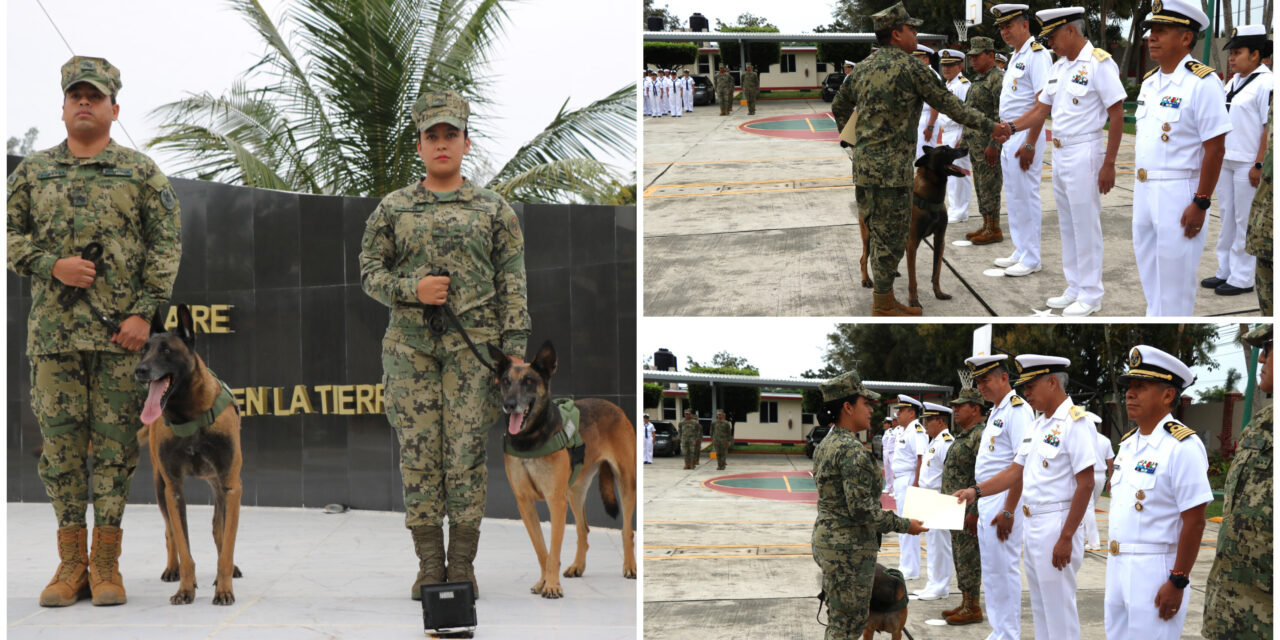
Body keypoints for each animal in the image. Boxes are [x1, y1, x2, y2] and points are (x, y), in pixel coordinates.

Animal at [134, 304, 241, 604]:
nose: (140, 370)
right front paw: (185, 588)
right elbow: (184, 545)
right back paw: (173, 568)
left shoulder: (230, 486)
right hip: (161, 488)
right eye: (143, 349)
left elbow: (226, 544)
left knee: (218, 529)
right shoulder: (174, 490)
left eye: (167, 350)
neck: (189, 415)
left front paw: (224, 587)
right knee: (170, 531)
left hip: (220, 488)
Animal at [483, 343, 634, 596]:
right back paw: (578, 566)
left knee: (627, 529)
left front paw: (552, 586)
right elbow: (541, 550)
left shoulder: (555, 500)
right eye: (505, 381)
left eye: (529, 381)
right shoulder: (525, 503)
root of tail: (614, 406)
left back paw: (630, 566)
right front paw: (543, 581)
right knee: (583, 529)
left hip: (625, 483)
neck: (530, 438)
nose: (509, 405)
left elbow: (553, 550)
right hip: (574, 492)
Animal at [860, 144, 967, 312]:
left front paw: (939, 293)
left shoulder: (940, 240)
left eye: (950, 146)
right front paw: (914, 301)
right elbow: (913, 279)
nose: (966, 148)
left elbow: (936, 272)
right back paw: (866, 279)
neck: (930, 197)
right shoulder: (912, 244)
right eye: (944, 150)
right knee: (864, 258)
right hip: (868, 236)